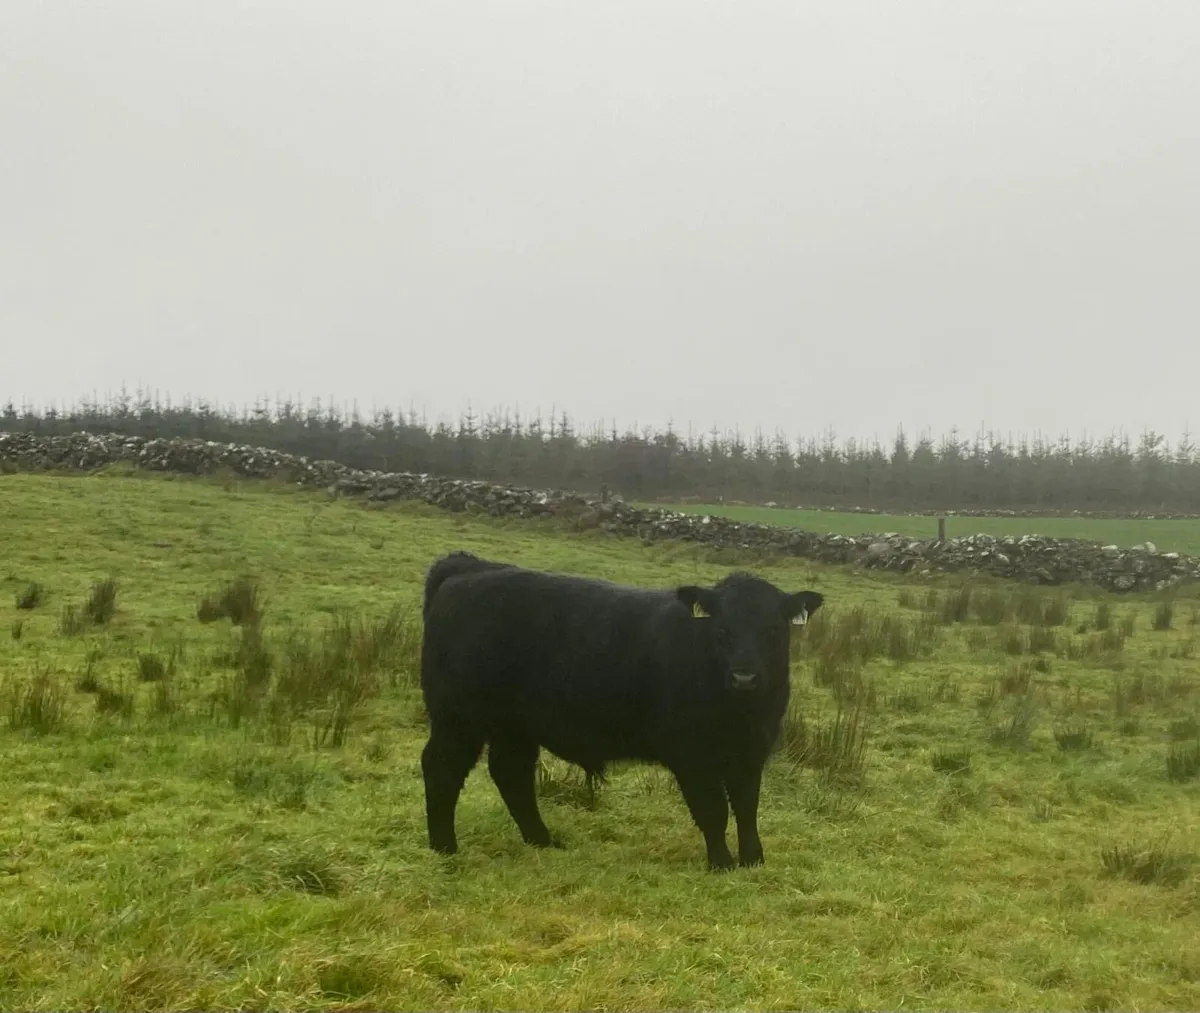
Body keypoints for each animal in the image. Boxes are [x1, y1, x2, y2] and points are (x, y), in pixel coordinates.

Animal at [418, 551, 824, 871]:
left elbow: (746, 808)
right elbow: (713, 810)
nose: (744, 676)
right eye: (721, 630)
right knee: (442, 768)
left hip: (514, 726)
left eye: (773, 631)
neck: (740, 712)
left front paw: (754, 860)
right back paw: (444, 848)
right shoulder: (692, 756)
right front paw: (722, 864)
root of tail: (469, 568)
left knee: (511, 774)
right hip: (458, 718)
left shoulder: (750, 753)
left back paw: (542, 841)